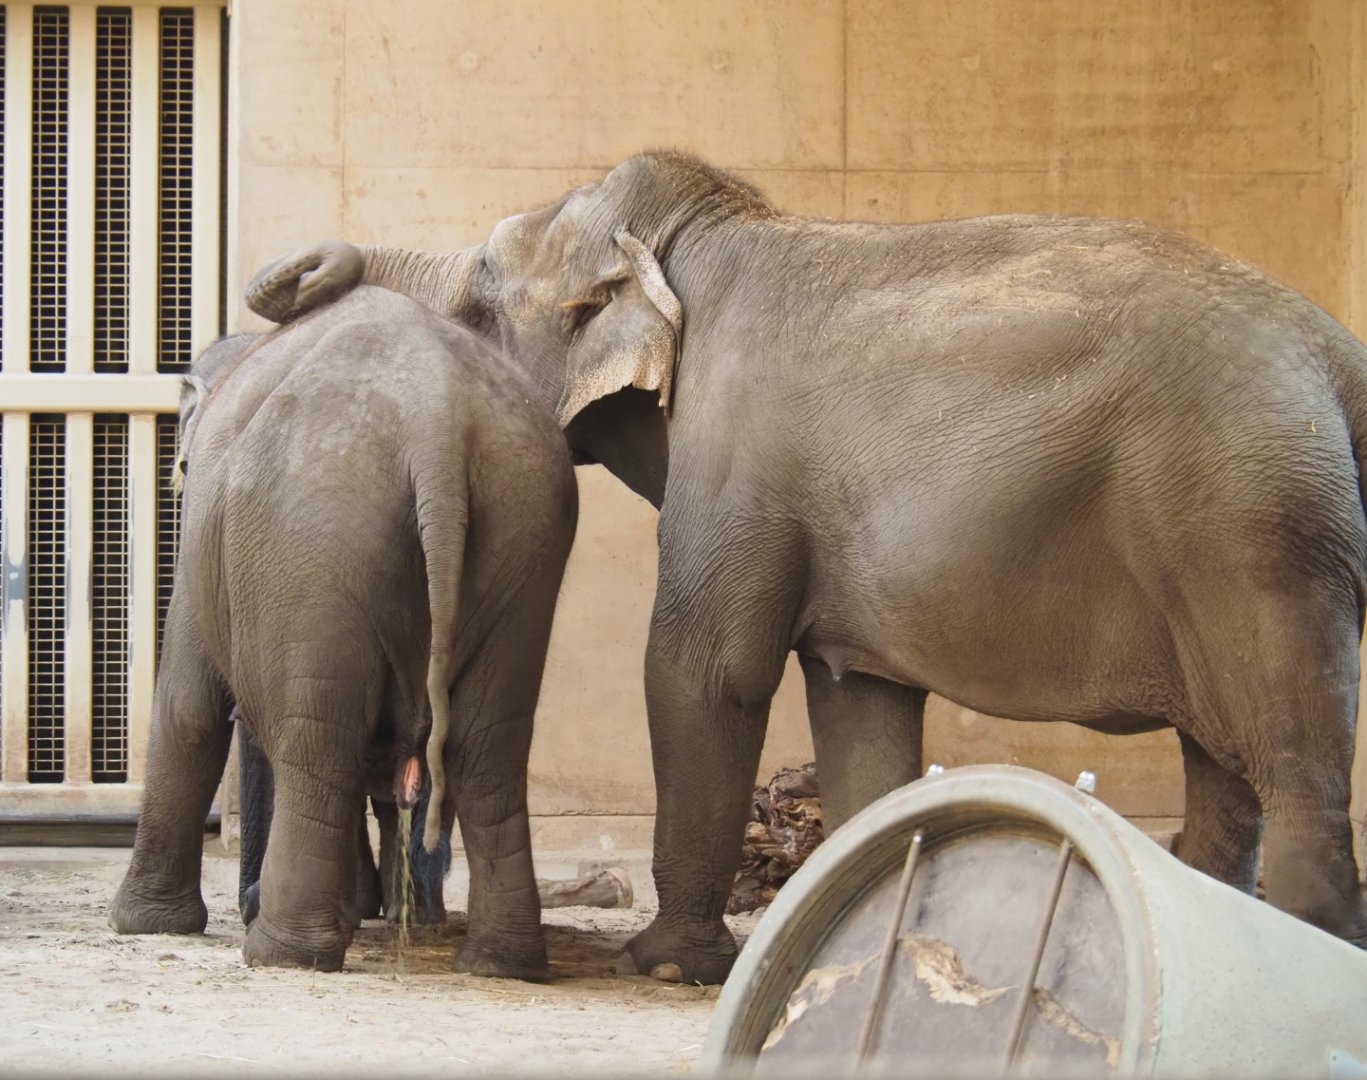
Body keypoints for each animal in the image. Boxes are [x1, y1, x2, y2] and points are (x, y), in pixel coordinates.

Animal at [110, 287, 577, 977]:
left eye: (183, 469)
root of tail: (437, 422)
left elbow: (189, 708)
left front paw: (142, 925)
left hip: (314, 539)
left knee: (318, 736)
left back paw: (281, 952)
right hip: (525, 530)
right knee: (489, 747)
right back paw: (499, 963)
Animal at [246, 151, 1367, 982]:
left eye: (482, 288)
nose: (298, 275)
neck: (697, 238)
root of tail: (1334, 355)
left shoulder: (733, 455)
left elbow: (701, 672)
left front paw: (665, 966)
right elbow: (858, 704)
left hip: (1253, 530)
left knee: (1293, 762)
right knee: (1225, 772)